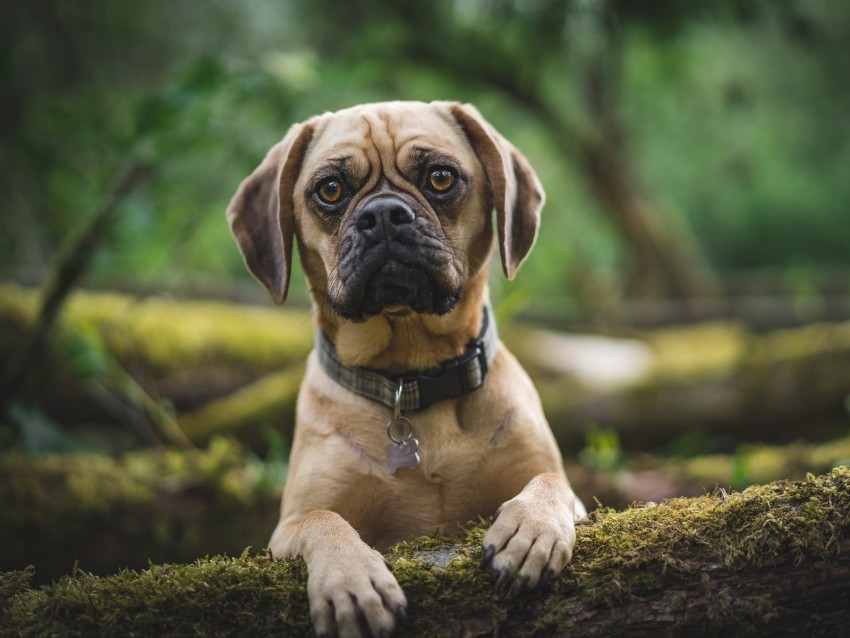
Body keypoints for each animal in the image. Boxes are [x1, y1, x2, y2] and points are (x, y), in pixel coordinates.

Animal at [227, 102, 584, 636]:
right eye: (329, 189)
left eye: (440, 178)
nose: (382, 215)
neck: (411, 378)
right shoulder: (288, 527)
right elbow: (323, 521)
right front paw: (352, 580)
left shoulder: (565, 489)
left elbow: (550, 482)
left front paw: (531, 527)